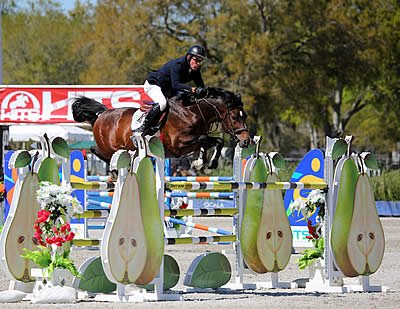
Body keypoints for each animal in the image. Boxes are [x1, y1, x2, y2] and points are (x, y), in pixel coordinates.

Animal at [72, 85, 250, 170]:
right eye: (235, 117)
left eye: (245, 116)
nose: (246, 141)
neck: (192, 111)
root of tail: (101, 114)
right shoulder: (178, 145)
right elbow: (203, 139)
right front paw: (201, 162)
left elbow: (216, 141)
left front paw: (204, 163)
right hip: (108, 146)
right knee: (95, 150)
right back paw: (115, 167)